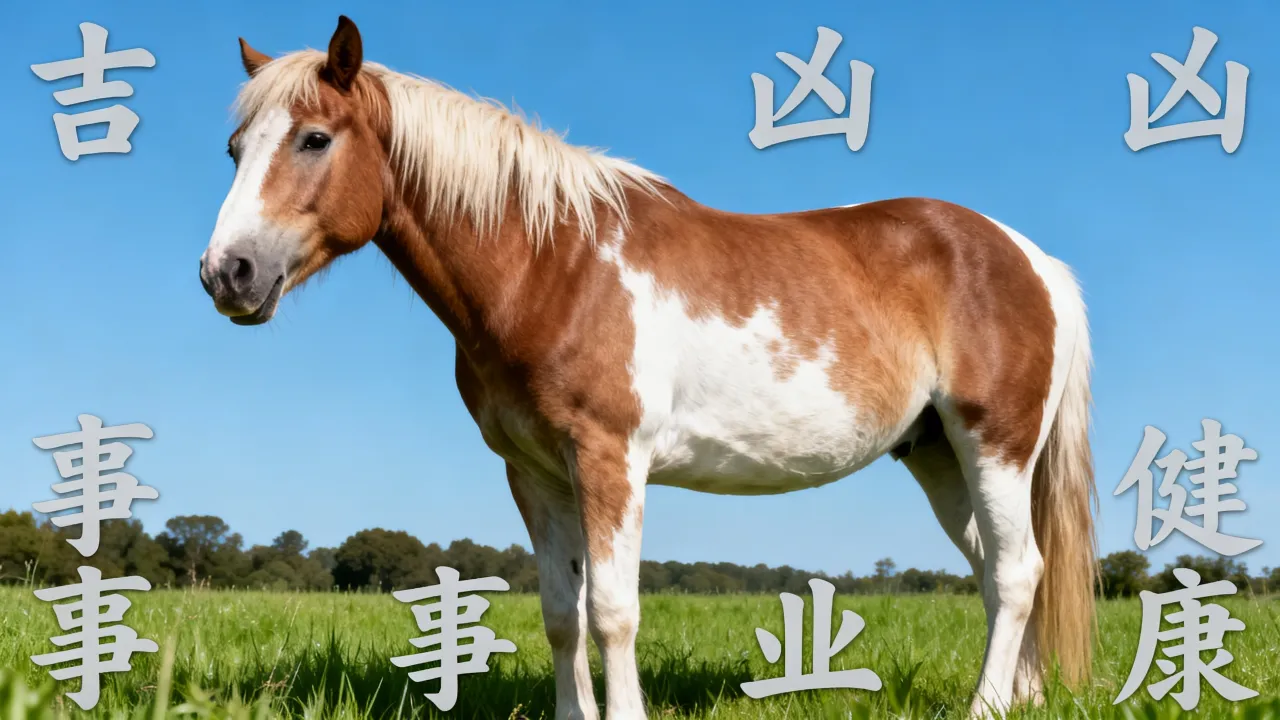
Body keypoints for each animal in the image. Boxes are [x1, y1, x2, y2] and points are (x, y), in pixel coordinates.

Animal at [199, 16, 1097, 719]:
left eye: (315, 138)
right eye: (235, 149)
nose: (226, 273)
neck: (552, 264)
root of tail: (1034, 260)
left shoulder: (610, 458)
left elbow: (612, 609)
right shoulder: (535, 472)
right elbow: (561, 612)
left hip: (995, 446)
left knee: (1017, 571)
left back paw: (987, 707)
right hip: (939, 455)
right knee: (997, 570)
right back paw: (1024, 698)